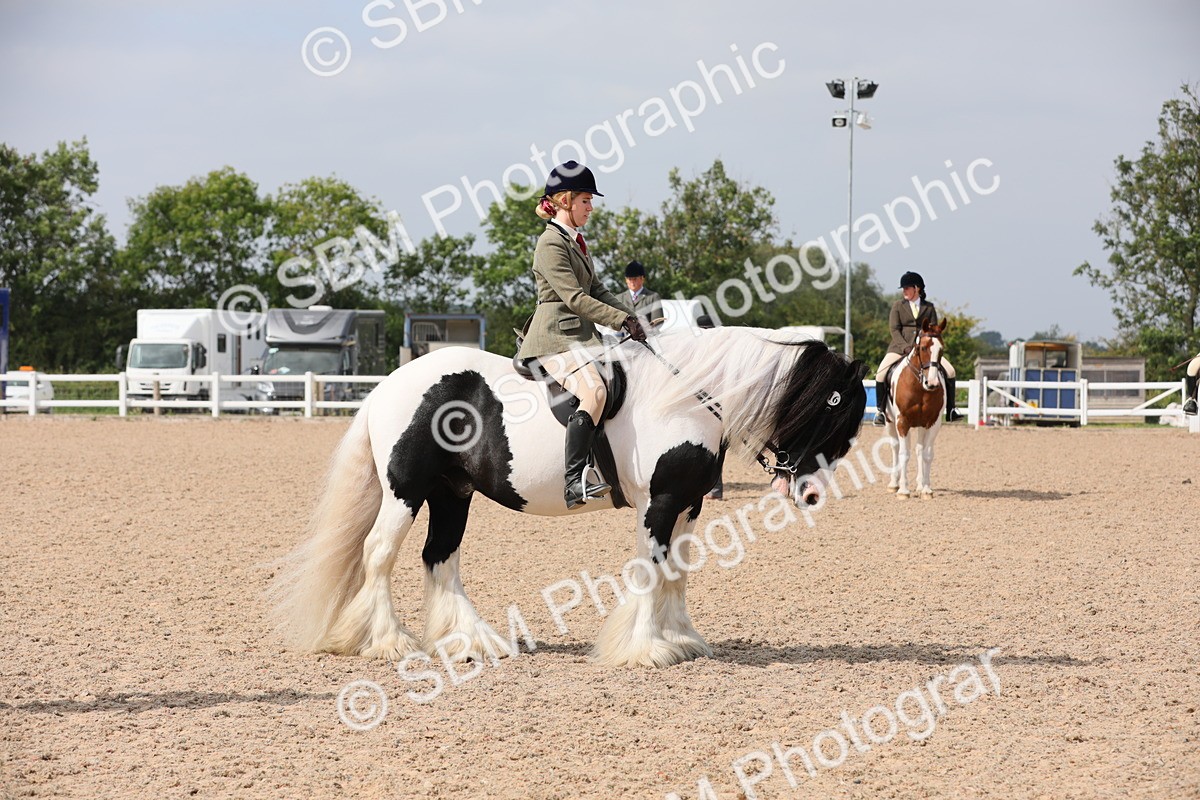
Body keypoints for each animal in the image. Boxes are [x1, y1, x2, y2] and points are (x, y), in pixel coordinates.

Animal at [270, 326, 867, 669]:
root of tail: (389, 385)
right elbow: (652, 569)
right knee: (379, 554)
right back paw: (392, 642)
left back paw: (472, 641)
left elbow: (678, 571)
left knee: (440, 557)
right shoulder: (659, 503)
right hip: (407, 491)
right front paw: (646, 649)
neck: (687, 397)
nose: (812, 492)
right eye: (832, 410)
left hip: (453, 493)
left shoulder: (689, 505)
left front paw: (682, 640)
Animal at [885, 319, 947, 499]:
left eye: (941, 349)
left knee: (920, 450)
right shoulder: (902, 421)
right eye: (923, 348)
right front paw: (903, 491)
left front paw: (926, 489)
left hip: (921, 425)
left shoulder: (933, 422)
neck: (920, 387)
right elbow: (904, 454)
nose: (932, 383)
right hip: (890, 422)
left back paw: (920, 485)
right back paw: (894, 484)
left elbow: (927, 454)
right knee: (895, 447)